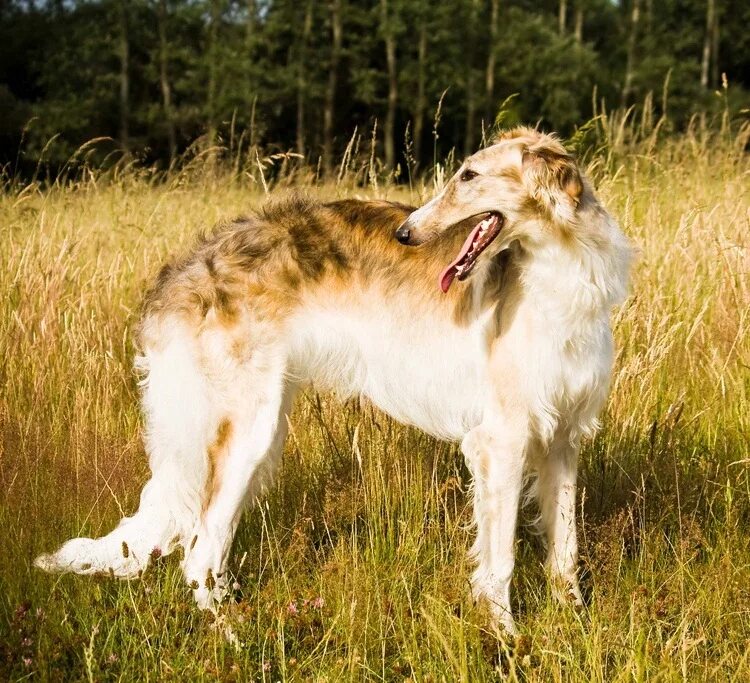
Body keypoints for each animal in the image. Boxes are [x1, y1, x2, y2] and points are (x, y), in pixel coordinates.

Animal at [36, 128, 636, 636]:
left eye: (469, 175)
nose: (406, 233)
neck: (560, 275)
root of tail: (185, 270)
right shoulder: (501, 440)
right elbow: (501, 560)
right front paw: (506, 636)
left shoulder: (563, 438)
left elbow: (565, 548)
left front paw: (576, 622)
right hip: (247, 431)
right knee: (199, 552)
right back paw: (234, 637)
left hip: (257, 427)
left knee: (207, 546)